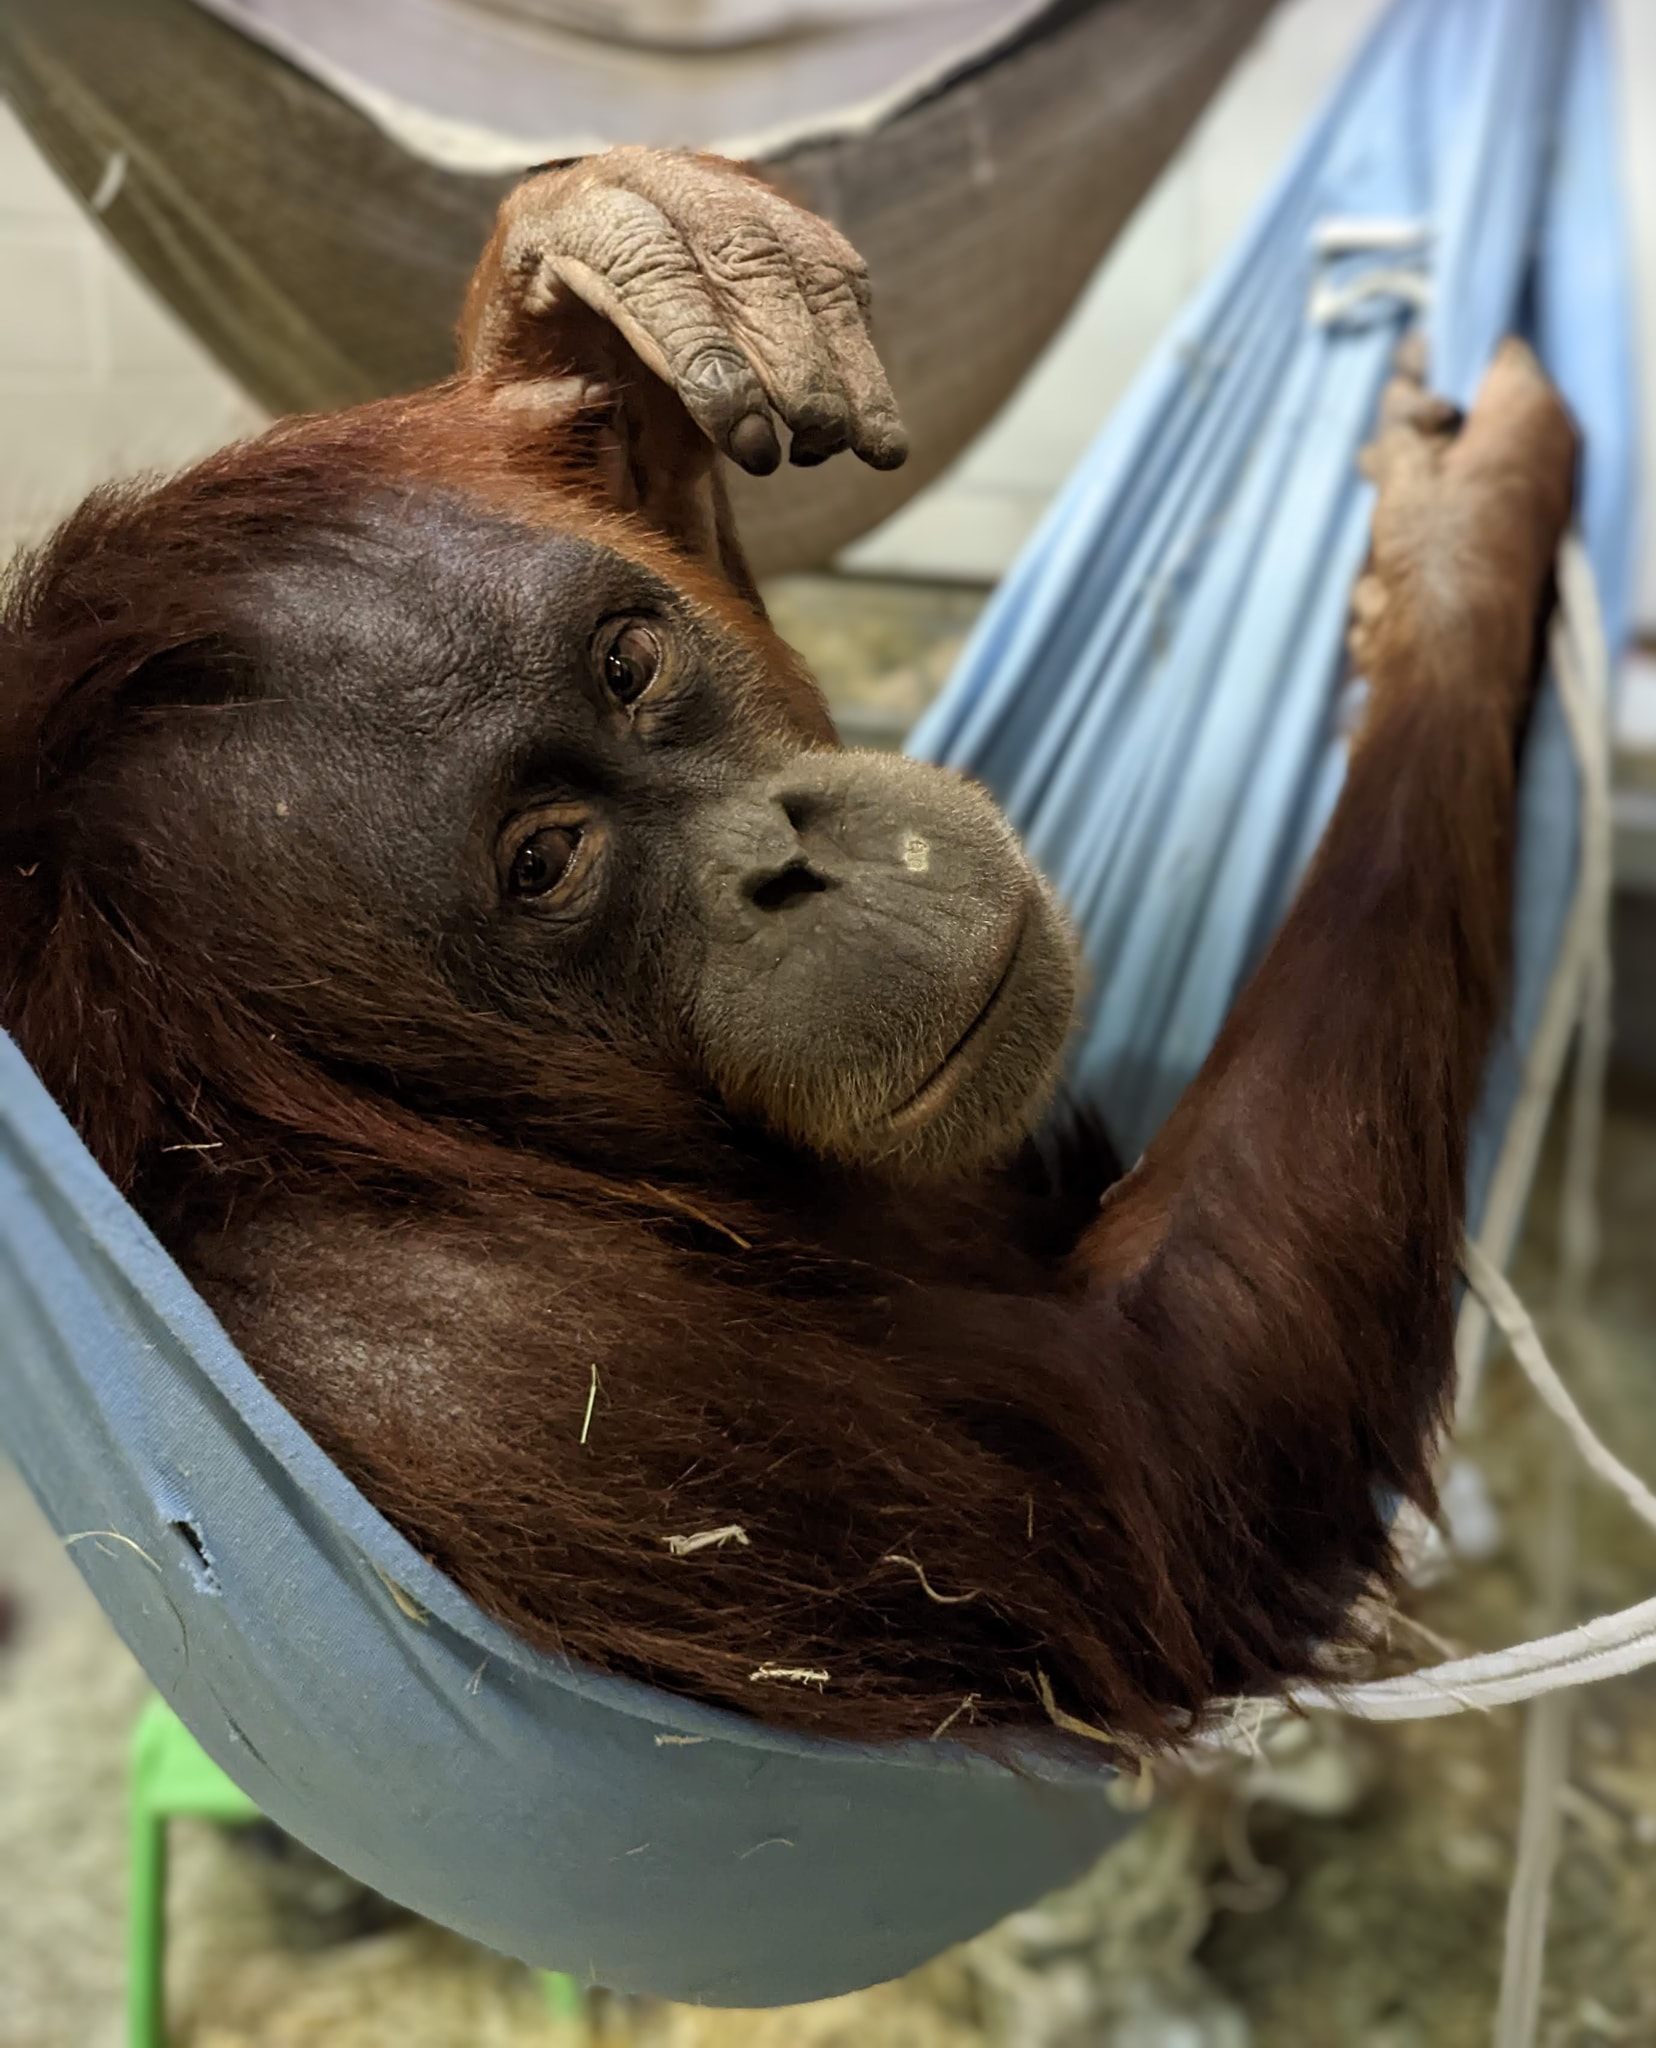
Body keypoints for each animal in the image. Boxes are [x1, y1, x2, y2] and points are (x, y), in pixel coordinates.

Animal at [0, 149, 1577, 1747]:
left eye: (631, 665)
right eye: (547, 859)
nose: (785, 859)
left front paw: (596, 274)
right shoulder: (489, 1371)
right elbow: (1185, 1448)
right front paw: (1465, 544)